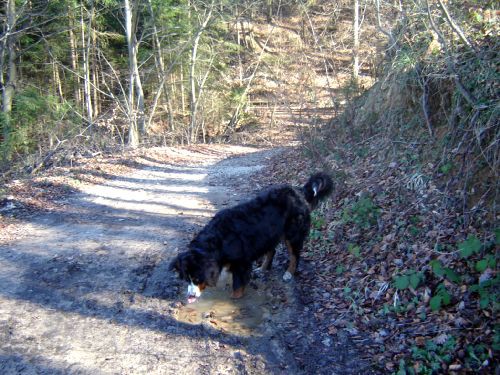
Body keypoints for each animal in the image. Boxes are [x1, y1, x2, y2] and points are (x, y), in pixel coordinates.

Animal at [171, 172, 332, 304]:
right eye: (186, 279)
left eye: (197, 279)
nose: (190, 296)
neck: (218, 241)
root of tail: (298, 192)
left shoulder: (241, 261)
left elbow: (238, 283)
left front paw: (234, 298)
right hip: (269, 233)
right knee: (272, 251)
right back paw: (263, 268)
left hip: (293, 233)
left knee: (294, 255)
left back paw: (288, 273)